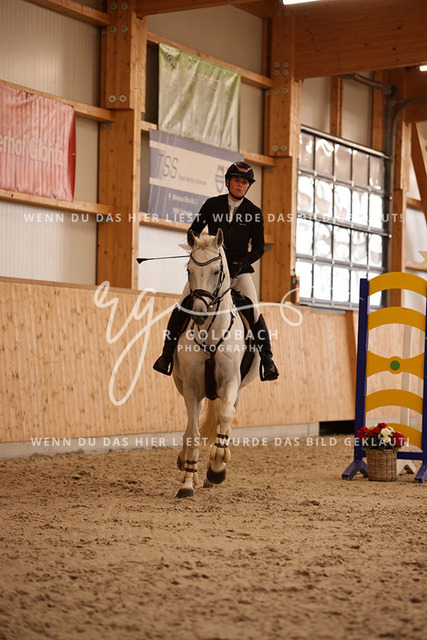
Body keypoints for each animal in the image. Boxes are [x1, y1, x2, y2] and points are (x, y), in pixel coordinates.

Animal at [172, 228, 259, 498]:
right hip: (182, 385)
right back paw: (185, 464)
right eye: (189, 270)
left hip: (237, 388)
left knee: (224, 418)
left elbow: (226, 417)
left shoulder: (231, 382)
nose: (199, 314)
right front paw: (188, 482)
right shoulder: (191, 387)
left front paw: (217, 469)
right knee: (190, 427)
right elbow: (194, 432)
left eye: (216, 271)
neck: (211, 332)